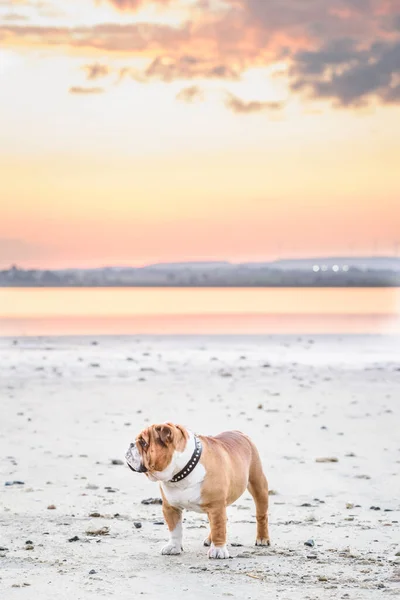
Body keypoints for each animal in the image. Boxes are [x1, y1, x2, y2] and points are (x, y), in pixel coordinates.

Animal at [125, 422, 268, 556]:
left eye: (143, 442)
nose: (131, 444)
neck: (181, 473)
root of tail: (239, 433)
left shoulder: (216, 506)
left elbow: (218, 528)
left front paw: (218, 550)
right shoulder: (170, 507)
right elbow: (175, 529)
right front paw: (173, 547)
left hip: (258, 485)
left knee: (261, 515)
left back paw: (263, 538)